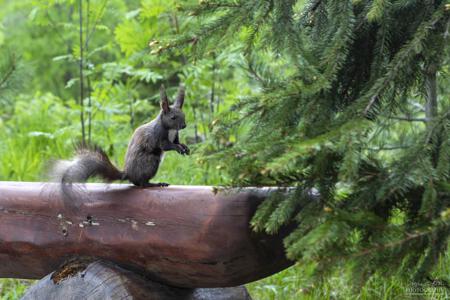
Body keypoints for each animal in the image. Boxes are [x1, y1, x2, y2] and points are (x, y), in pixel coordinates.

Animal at [56, 83, 190, 190]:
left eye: (184, 115)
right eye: (173, 117)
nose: (184, 125)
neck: (170, 129)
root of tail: (128, 174)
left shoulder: (175, 135)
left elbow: (177, 142)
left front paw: (185, 147)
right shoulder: (158, 135)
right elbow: (166, 145)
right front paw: (178, 148)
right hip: (150, 162)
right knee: (141, 183)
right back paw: (155, 184)